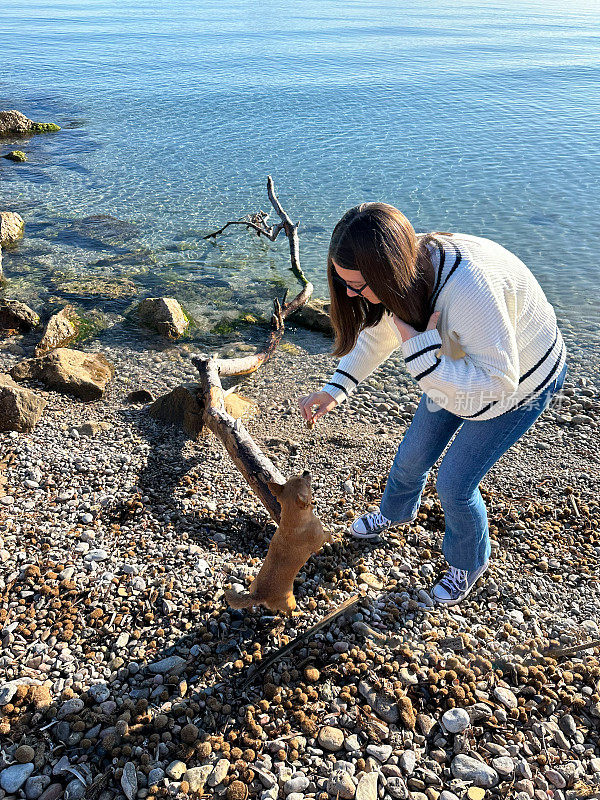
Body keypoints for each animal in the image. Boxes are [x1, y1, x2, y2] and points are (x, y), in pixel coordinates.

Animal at [225, 472, 330, 616]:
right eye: (307, 484)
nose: (306, 472)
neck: (292, 520)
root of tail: (260, 595)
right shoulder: (319, 540)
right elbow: (328, 535)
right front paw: (334, 535)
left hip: (252, 588)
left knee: (251, 605)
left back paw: (253, 611)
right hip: (290, 601)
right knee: (289, 613)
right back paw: (298, 613)